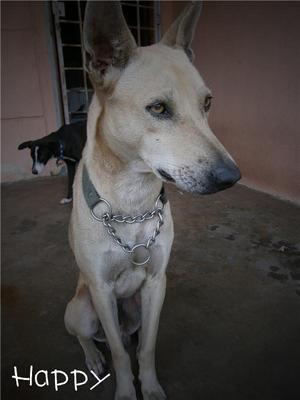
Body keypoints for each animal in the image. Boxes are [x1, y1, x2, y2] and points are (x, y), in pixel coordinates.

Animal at [64, 1, 240, 398]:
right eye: (158, 109)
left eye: (208, 102)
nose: (232, 178)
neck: (131, 201)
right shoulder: (101, 290)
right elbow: (118, 352)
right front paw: (127, 391)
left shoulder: (157, 283)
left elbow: (145, 348)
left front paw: (151, 386)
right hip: (81, 309)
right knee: (88, 338)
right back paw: (91, 357)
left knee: (133, 336)